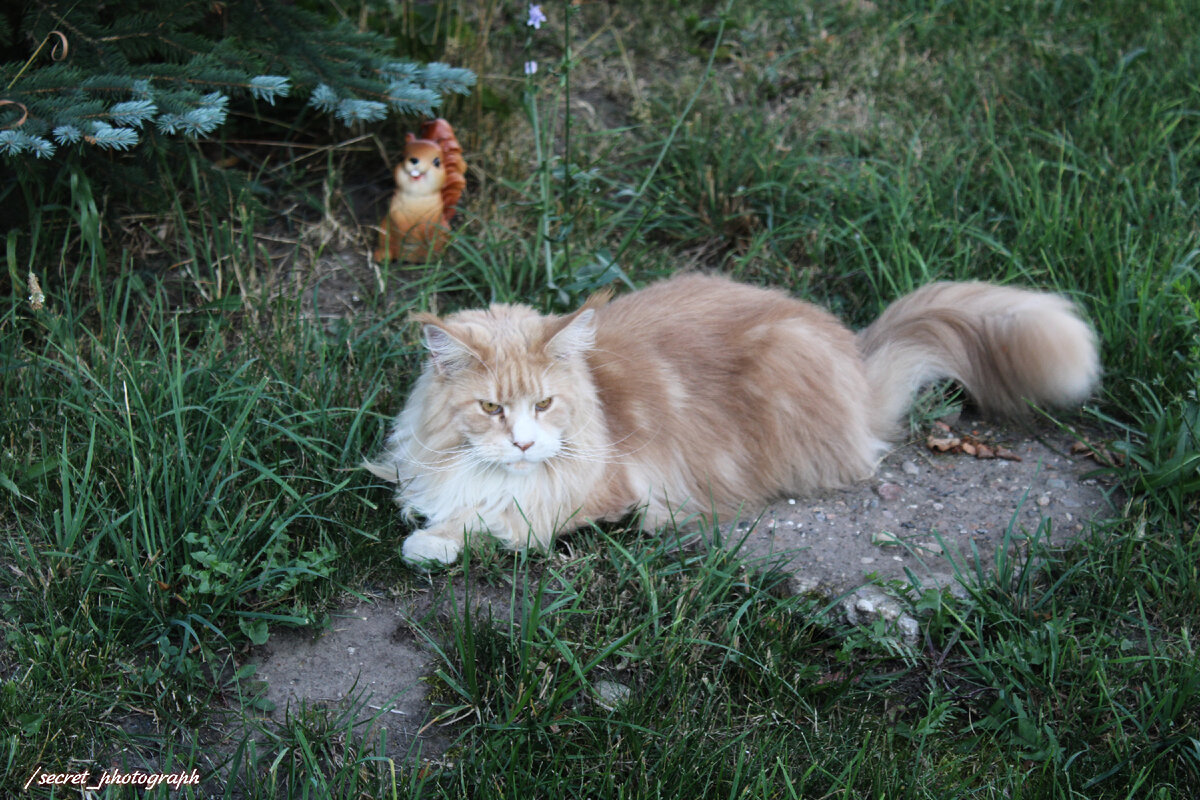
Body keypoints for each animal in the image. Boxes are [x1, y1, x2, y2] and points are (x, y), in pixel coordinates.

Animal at [364, 275, 1099, 568]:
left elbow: (501, 520)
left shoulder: (596, 490)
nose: (520, 442)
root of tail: (857, 361)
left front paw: (432, 544)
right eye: (491, 408)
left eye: (543, 405)